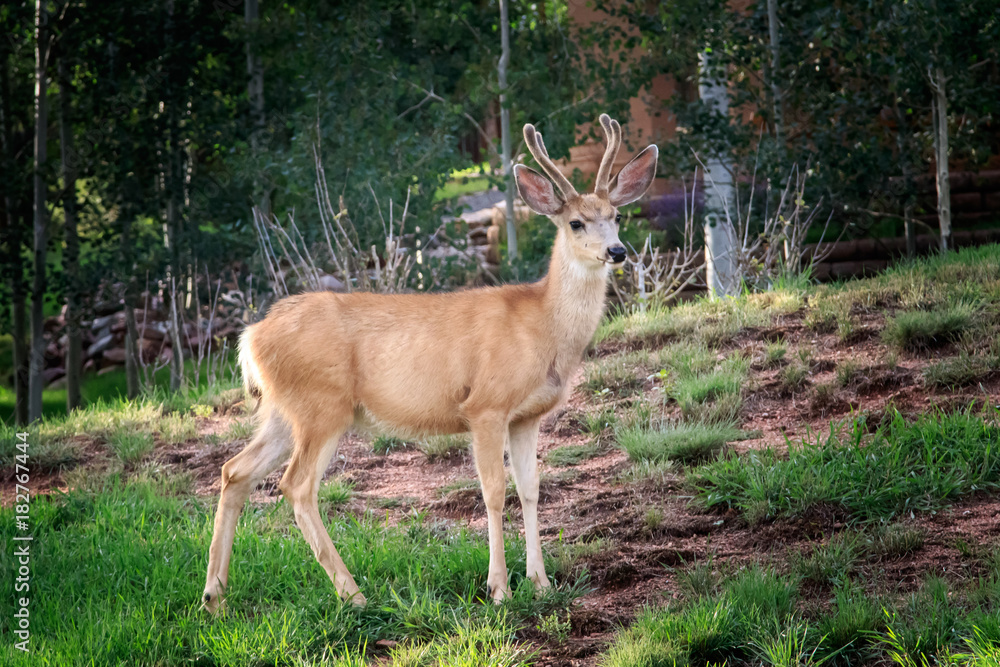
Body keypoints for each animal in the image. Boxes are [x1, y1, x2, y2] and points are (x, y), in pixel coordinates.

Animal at [201, 114, 658, 613]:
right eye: (576, 222)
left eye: (616, 216)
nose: (617, 251)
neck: (541, 327)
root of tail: (250, 336)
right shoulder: (485, 406)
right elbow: (494, 491)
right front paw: (499, 589)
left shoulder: (527, 416)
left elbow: (531, 489)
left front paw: (541, 583)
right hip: (322, 406)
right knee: (297, 486)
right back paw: (354, 595)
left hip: (284, 411)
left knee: (235, 471)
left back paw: (214, 597)